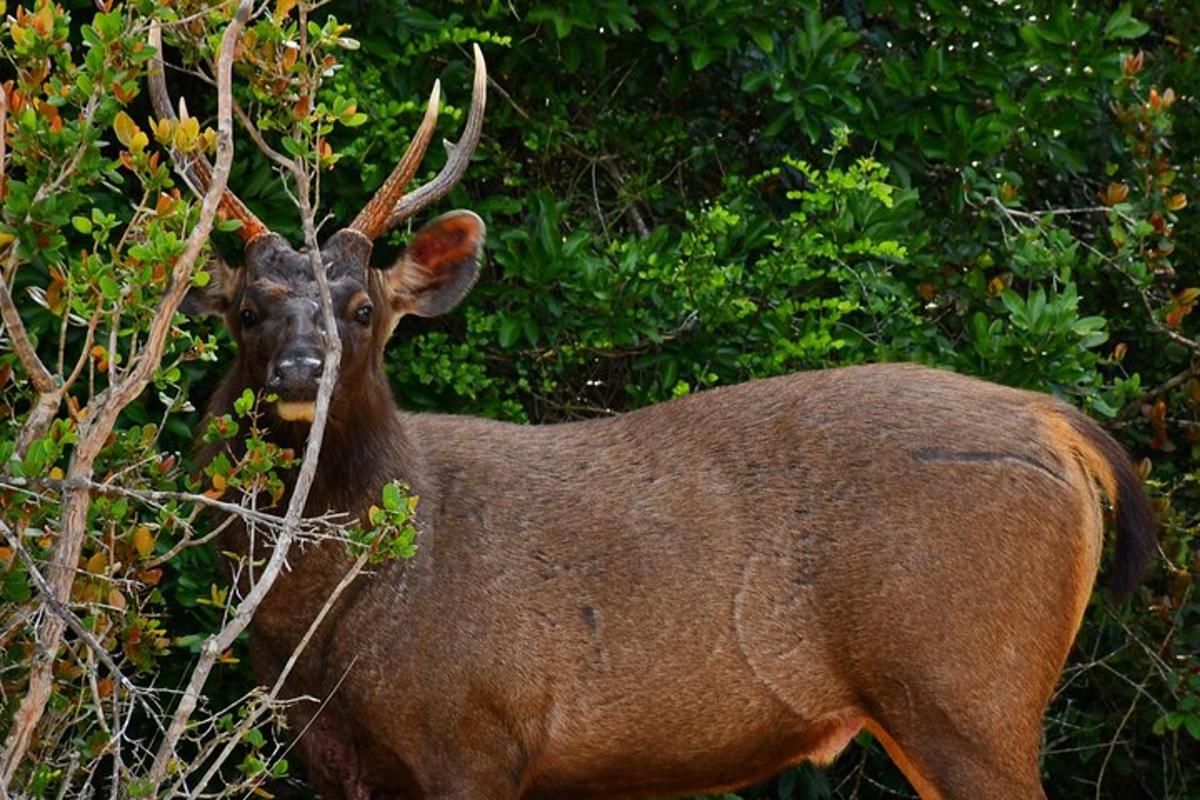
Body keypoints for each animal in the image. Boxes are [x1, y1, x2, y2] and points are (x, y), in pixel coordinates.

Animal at [159, 42, 1152, 800]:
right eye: (247, 309)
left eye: (362, 308)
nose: (300, 370)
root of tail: (1058, 423)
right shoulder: (336, 760)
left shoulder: (474, 731)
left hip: (966, 687)